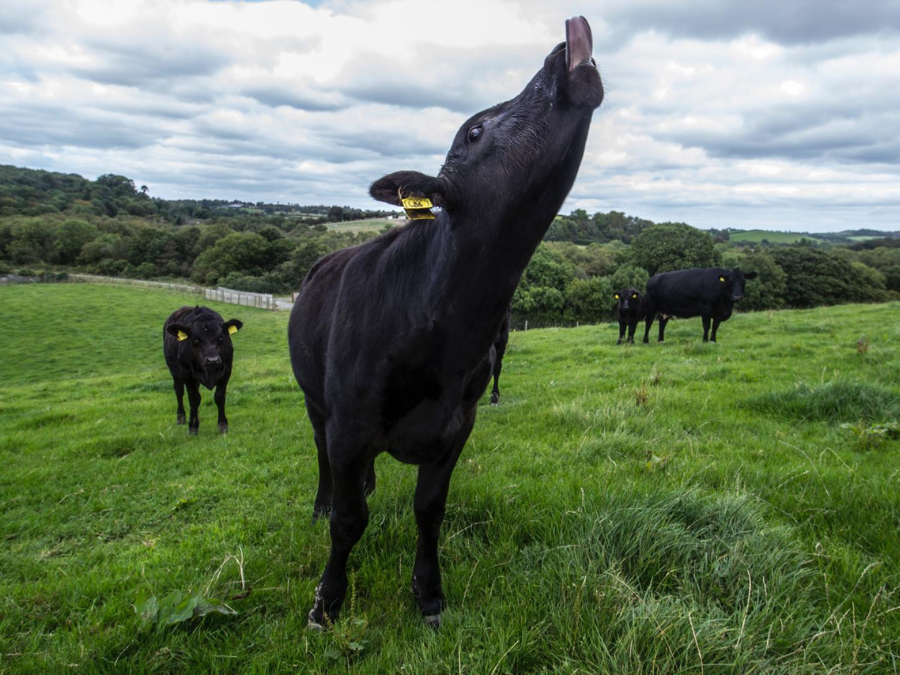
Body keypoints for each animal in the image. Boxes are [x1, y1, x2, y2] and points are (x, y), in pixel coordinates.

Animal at [163, 304, 243, 434]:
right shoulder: (186, 372)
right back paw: (181, 417)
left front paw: (223, 425)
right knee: (179, 390)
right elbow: (194, 399)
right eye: (196, 339)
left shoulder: (227, 370)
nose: (213, 360)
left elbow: (219, 396)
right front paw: (193, 426)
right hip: (174, 370)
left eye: (220, 337)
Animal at [284, 15, 600, 628]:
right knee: (322, 458)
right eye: (475, 130)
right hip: (316, 403)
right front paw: (327, 600)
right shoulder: (349, 422)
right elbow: (348, 522)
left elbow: (430, 510)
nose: (560, 48)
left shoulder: (458, 425)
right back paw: (322, 501)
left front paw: (429, 595)